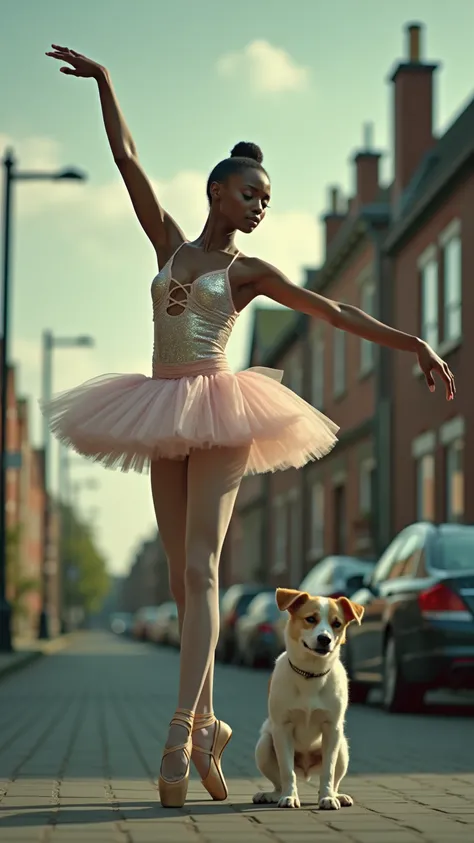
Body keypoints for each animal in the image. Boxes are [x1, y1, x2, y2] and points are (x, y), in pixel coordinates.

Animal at [254, 588, 364, 812]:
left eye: (337, 623)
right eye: (311, 619)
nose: (324, 639)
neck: (310, 675)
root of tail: (305, 770)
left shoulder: (332, 729)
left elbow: (328, 771)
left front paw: (328, 798)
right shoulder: (282, 728)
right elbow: (286, 771)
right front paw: (289, 797)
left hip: (342, 748)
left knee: (333, 776)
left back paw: (336, 795)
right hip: (264, 745)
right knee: (279, 780)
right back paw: (273, 795)